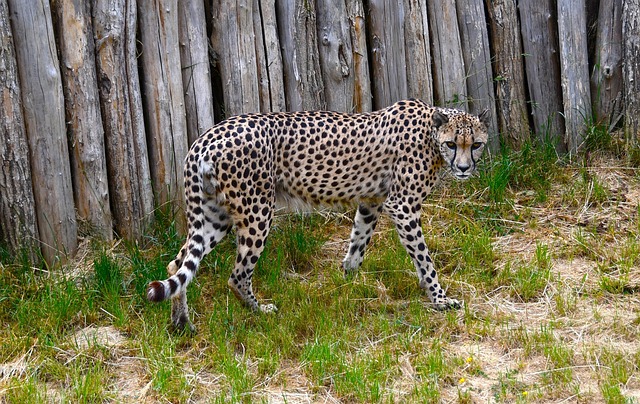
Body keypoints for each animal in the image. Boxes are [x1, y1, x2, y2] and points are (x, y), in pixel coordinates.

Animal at [147, 99, 490, 331]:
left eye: (476, 145)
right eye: (452, 144)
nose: (463, 168)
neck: (431, 135)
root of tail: (207, 136)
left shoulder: (372, 201)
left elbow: (358, 243)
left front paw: (348, 284)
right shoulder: (402, 206)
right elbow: (424, 258)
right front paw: (440, 298)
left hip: (215, 215)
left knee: (178, 263)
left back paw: (181, 323)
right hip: (257, 212)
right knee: (237, 274)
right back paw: (259, 311)